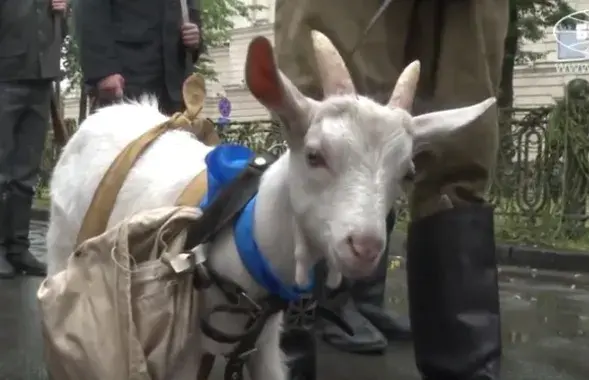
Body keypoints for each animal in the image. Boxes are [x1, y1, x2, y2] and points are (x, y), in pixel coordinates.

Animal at [47, 32, 496, 380]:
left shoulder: (260, 342)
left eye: (407, 173)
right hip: (61, 243)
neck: (243, 234)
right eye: (314, 155)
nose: (365, 247)